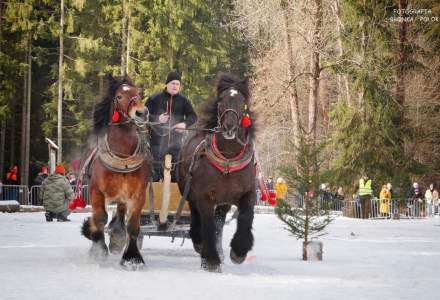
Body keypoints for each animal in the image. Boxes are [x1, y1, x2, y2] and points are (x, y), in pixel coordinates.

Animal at [81, 75, 152, 268]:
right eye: (119, 96)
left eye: (138, 93)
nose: (142, 113)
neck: (122, 154)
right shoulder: (96, 191)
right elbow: (100, 218)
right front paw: (98, 251)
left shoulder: (138, 193)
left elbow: (132, 225)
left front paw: (132, 257)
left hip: (122, 196)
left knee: (120, 216)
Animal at [177, 73, 256, 272]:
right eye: (221, 101)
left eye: (242, 102)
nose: (229, 127)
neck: (228, 159)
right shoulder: (205, 197)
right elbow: (207, 224)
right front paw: (211, 260)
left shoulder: (249, 194)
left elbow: (246, 217)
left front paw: (238, 251)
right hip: (189, 193)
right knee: (197, 218)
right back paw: (201, 245)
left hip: (223, 202)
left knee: (219, 222)